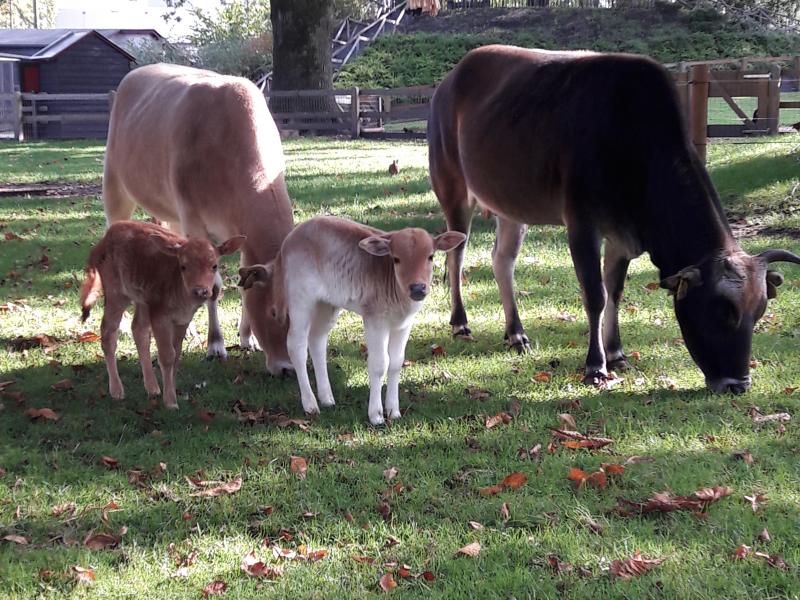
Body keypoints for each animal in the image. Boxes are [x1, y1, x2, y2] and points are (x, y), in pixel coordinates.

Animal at [81, 223, 245, 410]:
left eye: (214, 266)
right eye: (183, 266)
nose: (200, 291)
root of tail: (100, 244)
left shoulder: (182, 319)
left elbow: (177, 354)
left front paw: (171, 391)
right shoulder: (160, 314)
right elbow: (166, 355)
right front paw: (171, 402)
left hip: (142, 300)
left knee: (138, 329)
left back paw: (152, 388)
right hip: (116, 293)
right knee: (108, 333)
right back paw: (117, 391)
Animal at [432, 47, 800, 394]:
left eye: (759, 311)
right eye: (722, 310)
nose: (738, 384)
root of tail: (449, 80)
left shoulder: (622, 235)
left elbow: (616, 292)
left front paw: (617, 354)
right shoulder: (582, 224)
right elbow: (595, 295)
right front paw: (595, 366)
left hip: (511, 206)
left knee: (502, 261)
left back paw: (516, 333)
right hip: (452, 187)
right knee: (456, 254)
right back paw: (460, 323)